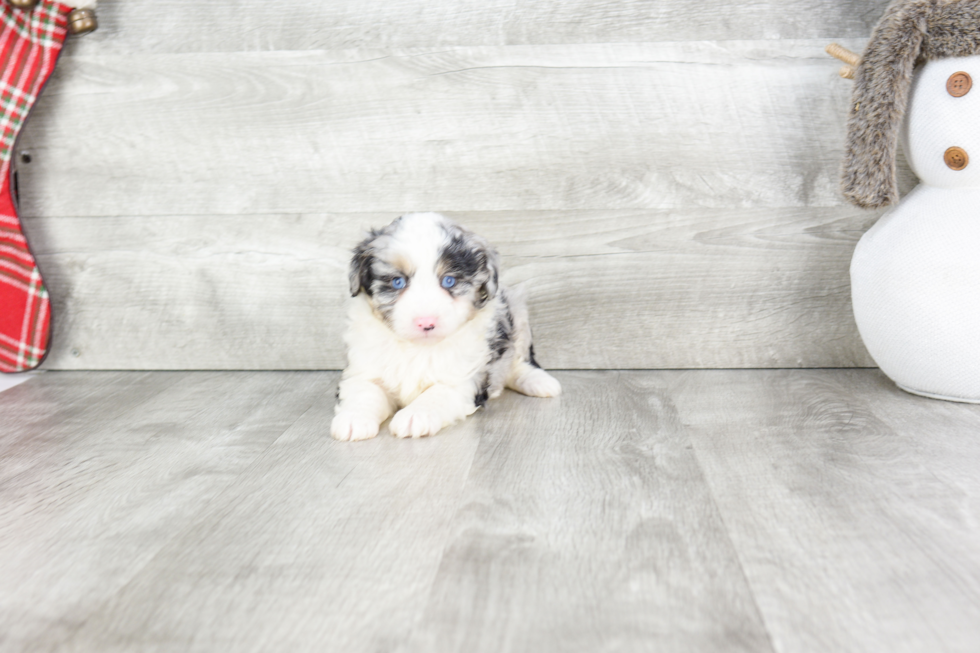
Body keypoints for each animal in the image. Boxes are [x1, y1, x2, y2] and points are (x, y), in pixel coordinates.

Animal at [330, 211, 560, 440]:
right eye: (397, 282)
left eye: (449, 281)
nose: (426, 322)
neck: (417, 348)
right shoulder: (364, 368)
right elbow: (364, 390)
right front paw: (354, 418)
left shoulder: (463, 381)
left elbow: (438, 394)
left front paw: (415, 415)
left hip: (517, 312)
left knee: (518, 361)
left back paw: (538, 382)